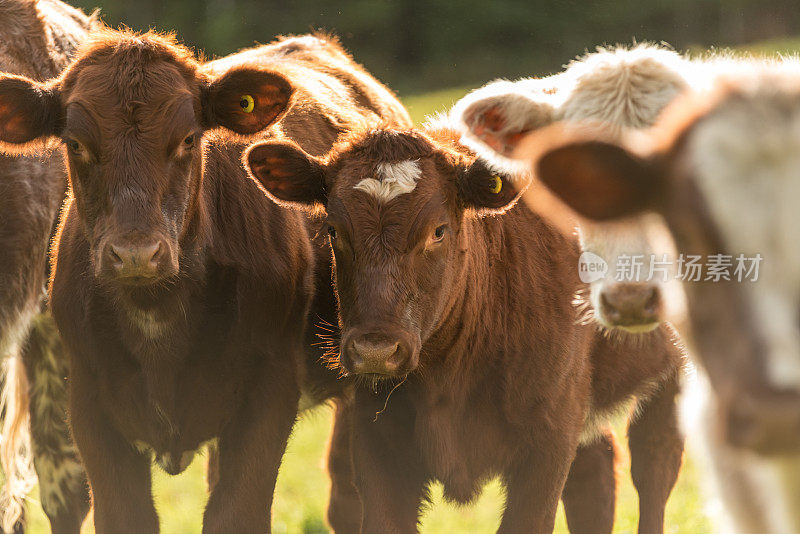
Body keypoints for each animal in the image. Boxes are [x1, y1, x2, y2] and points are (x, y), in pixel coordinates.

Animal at [0, 30, 412, 534]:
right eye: (75, 143)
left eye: (188, 138)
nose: (136, 253)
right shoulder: (88, 401)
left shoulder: (268, 393)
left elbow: (236, 513)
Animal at [247, 122, 684, 534]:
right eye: (334, 231)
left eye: (438, 230)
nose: (375, 350)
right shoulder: (377, 441)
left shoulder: (550, 438)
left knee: (655, 466)